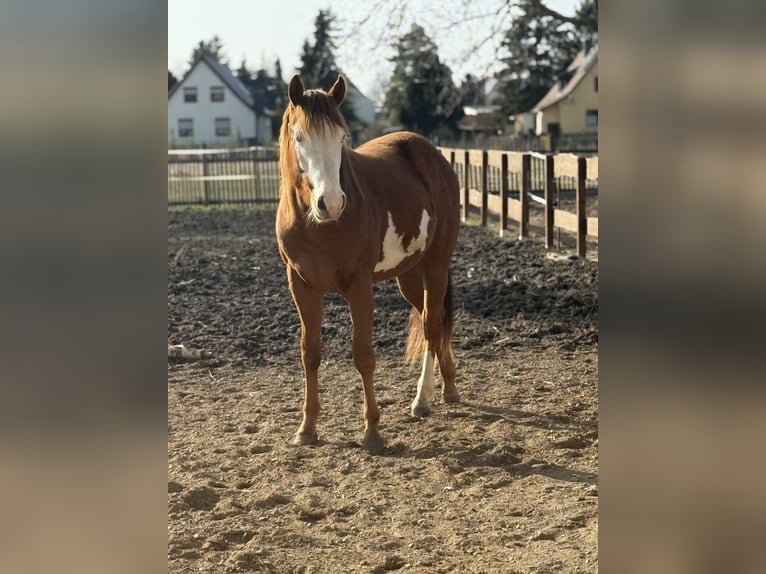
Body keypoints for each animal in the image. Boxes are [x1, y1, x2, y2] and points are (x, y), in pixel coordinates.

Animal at [275, 74, 460, 454]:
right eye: (300, 138)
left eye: (341, 138)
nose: (330, 203)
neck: (318, 226)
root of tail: (432, 154)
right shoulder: (302, 286)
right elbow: (310, 353)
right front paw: (307, 428)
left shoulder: (359, 287)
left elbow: (363, 356)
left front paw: (372, 431)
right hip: (408, 275)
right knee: (430, 319)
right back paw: (448, 387)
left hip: (435, 265)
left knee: (432, 325)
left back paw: (422, 400)